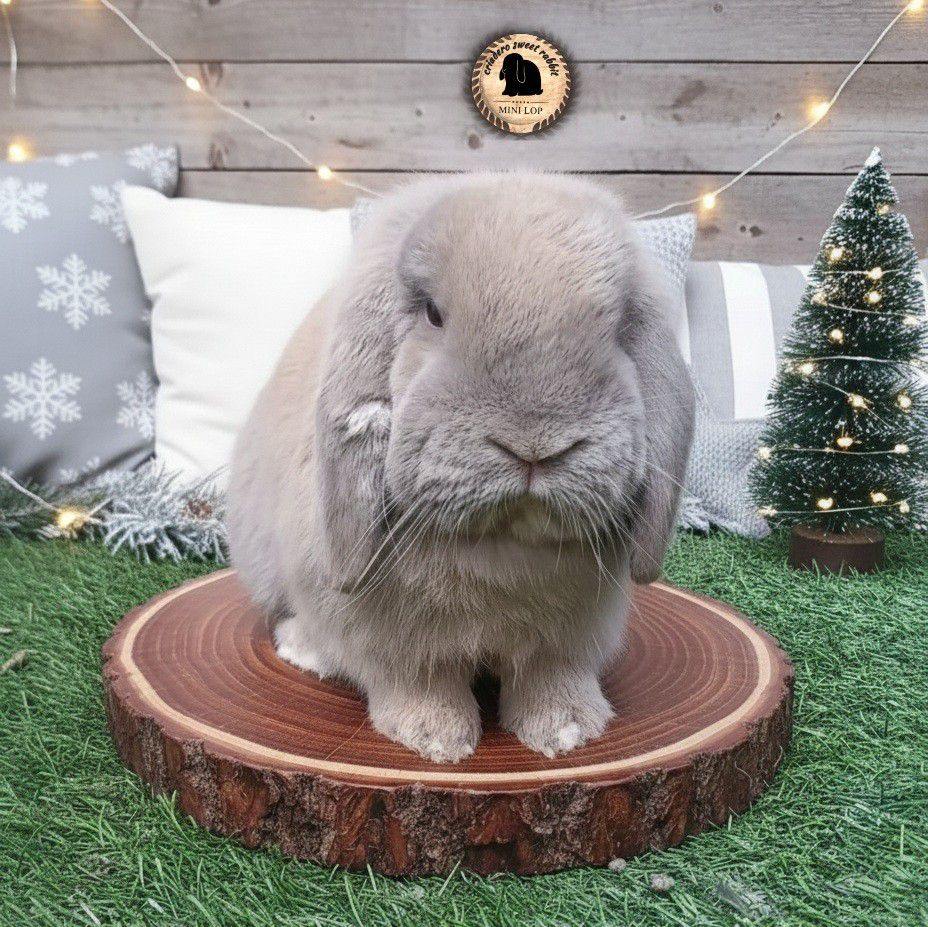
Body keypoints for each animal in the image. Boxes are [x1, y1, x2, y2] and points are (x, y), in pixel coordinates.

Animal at [227, 172, 695, 763]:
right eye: (432, 312)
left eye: (620, 326)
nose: (534, 443)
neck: (501, 549)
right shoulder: (388, 638)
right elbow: (416, 681)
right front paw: (436, 740)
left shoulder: (571, 634)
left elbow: (551, 675)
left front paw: (567, 730)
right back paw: (304, 649)